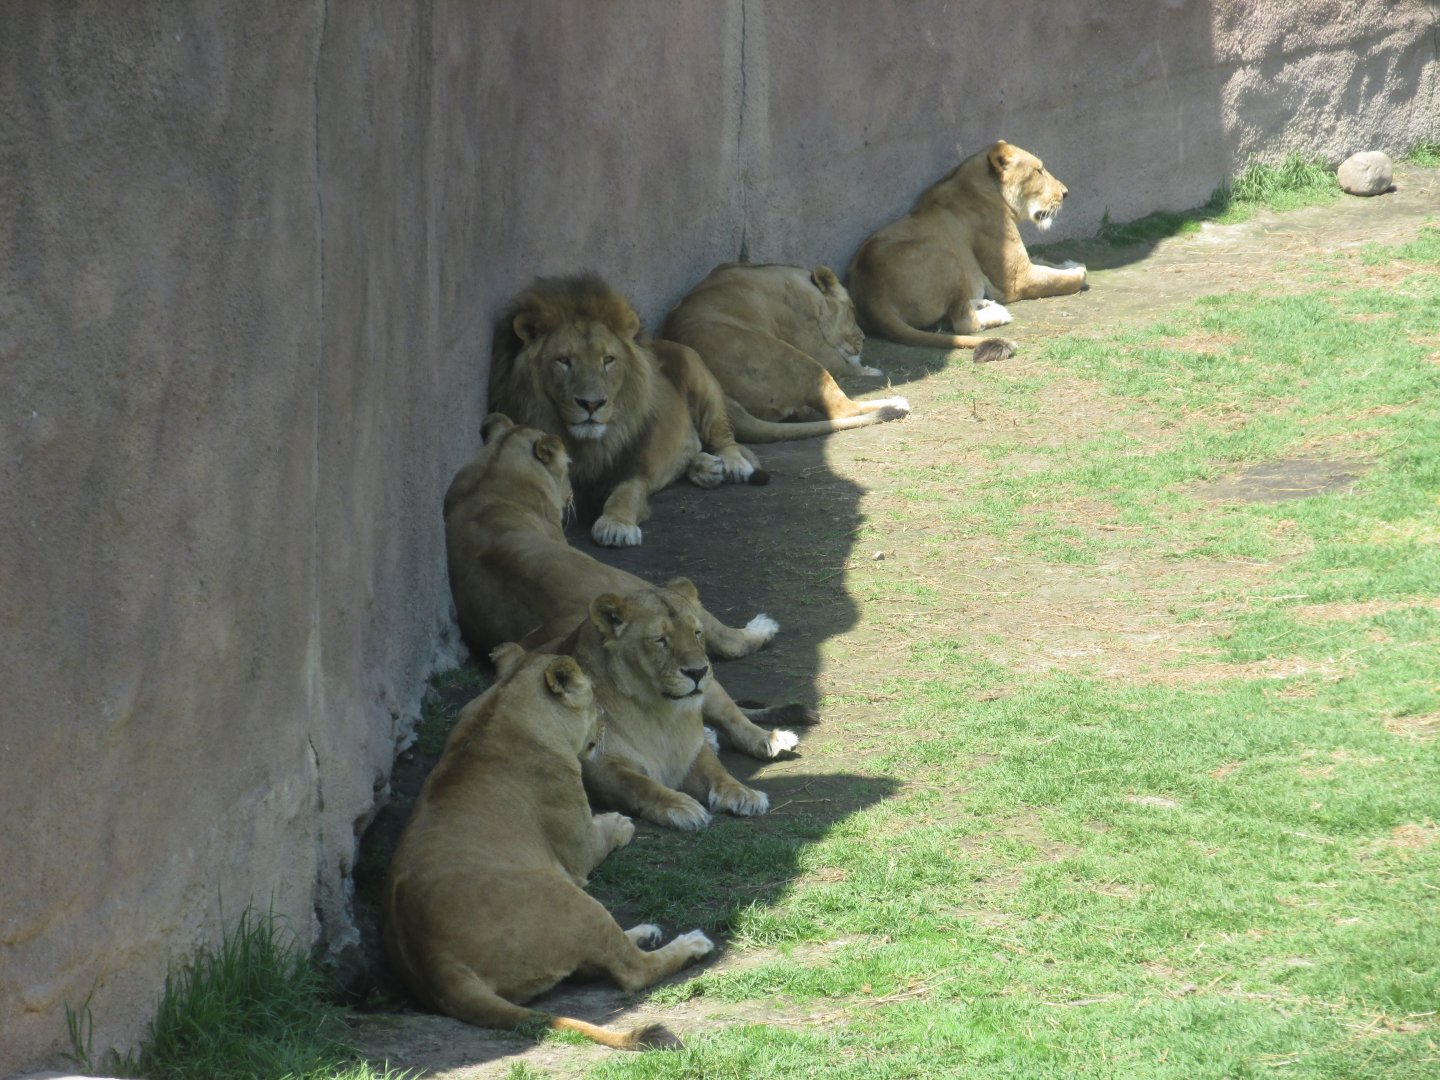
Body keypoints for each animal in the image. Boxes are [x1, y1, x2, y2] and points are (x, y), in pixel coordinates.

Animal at [382, 643, 713, 1050]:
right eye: (596, 702)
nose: (605, 726)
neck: (502, 706)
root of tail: (435, 960)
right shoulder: (579, 848)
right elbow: (601, 837)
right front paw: (619, 823)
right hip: (570, 899)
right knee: (632, 970)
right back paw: (691, 944)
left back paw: (645, 932)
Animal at [659, 262, 912, 435]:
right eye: (851, 310)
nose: (863, 339)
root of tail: (717, 390)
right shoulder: (814, 344)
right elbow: (846, 364)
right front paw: (871, 370)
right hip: (800, 361)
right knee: (843, 409)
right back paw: (897, 403)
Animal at [846, 140, 1087, 357]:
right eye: (1038, 170)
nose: (1066, 193)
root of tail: (871, 296)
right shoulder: (1016, 280)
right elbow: (1063, 279)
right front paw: (1078, 271)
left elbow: (1046, 263)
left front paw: (1069, 263)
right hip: (948, 258)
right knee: (962, 322)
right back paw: (998, 313)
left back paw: (984, 303)